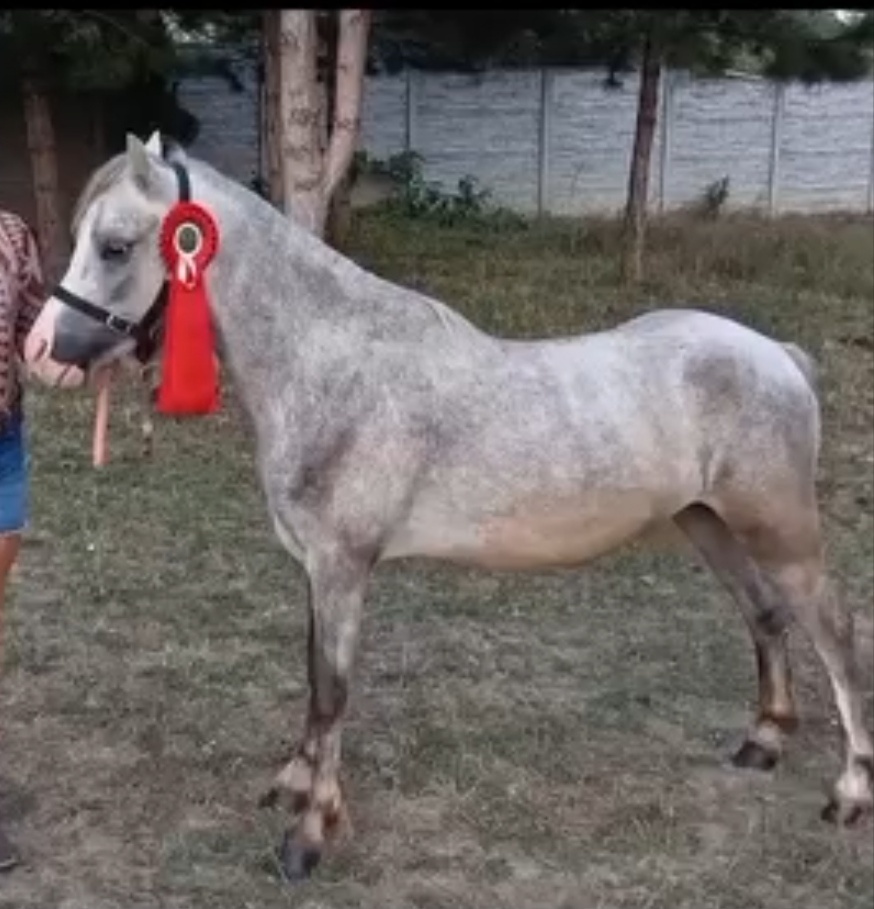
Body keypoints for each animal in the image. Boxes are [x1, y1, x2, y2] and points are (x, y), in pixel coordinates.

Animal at [22, 133, 873, 882]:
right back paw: (763, 742)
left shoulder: (343, 566)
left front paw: (308, 836)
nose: (41, 353)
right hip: (711, 523)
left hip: (780, 529)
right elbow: (312, 676)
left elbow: (332, 691)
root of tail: (778, 355)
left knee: (833, 630)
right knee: (765, 614)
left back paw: (849, 793)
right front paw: (295, 786)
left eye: (116, 246)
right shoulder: (316, 568)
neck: (331, 362)